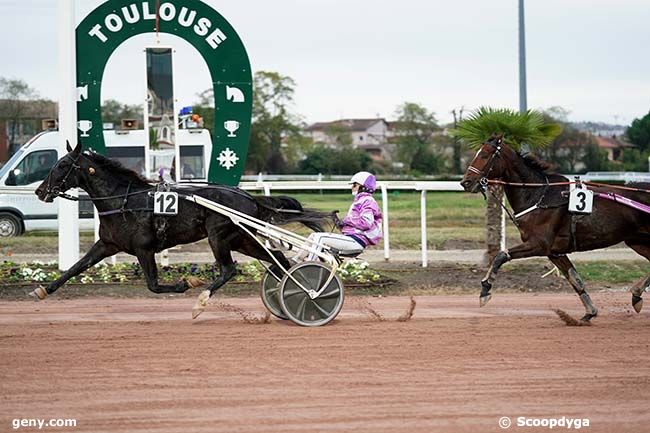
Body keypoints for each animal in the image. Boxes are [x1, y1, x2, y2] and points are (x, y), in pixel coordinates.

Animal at [34, 143, 330, 316]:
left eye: (62, 164)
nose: (40, 191)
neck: (124, 201)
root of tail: (249, 197)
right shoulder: (107, 245)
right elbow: (75, 267)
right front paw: (43, 290)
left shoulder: (143, 249)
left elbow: (153, 285)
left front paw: (187, 282)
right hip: (240, 238)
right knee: (278, 259)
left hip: (219, 237)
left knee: (230, 269)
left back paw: (202, 300)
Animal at [458, 135, 648, 320]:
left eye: (484, 155)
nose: (465, 182)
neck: (539, 196)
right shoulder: (554, 252)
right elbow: (574, 278)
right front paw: (590, 312)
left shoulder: (538, 244)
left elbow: (500, 256)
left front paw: (485, 290)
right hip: (637, 241)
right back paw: (637, 295)